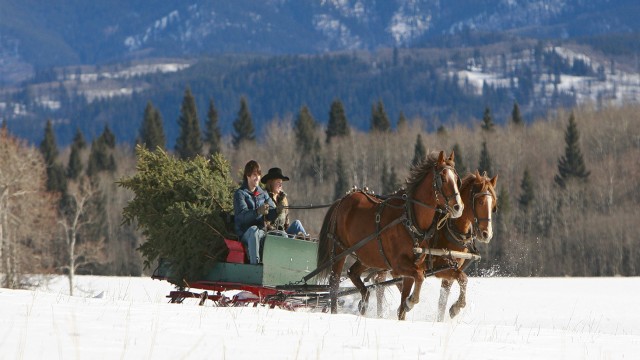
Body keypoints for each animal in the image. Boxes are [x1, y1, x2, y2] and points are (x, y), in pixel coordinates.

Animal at [316, 150, 462, 320]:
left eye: (457, 179)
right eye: (443, 179)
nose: (458, 207)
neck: (410, 219)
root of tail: (342, 200)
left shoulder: (411, 267)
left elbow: (405, 300)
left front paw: (406, 305)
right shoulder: (398, 265)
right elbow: (420, 276)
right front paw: (411, 301)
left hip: (368, 255)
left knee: (352, 273)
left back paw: (364, 301)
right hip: (340, 250)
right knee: (334, 281)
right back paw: (335, 312)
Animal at [432, 170, 498, 322]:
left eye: (493, 204)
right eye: (480, 201)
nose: (487, 234)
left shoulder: (451, 271)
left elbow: (442, 302)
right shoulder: (440, 268)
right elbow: (463, 279)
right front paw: (456, 308)